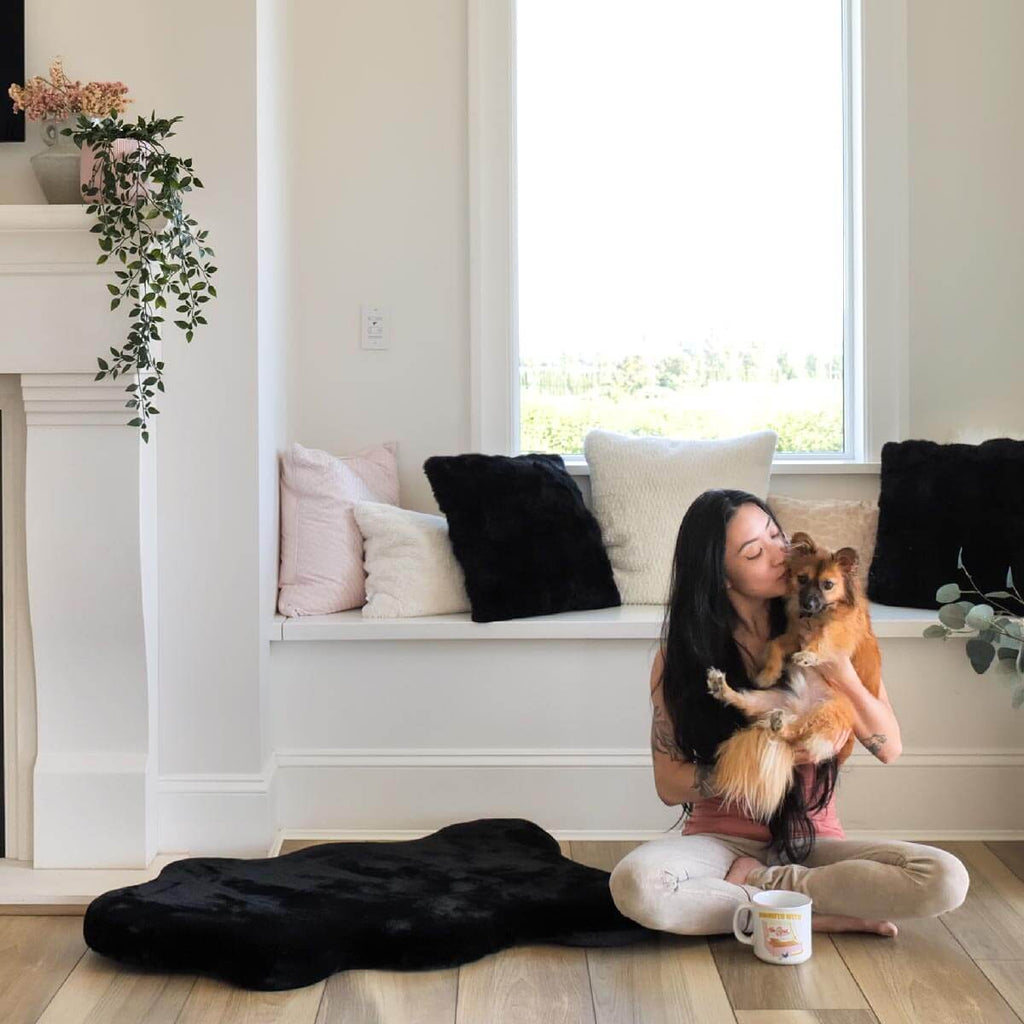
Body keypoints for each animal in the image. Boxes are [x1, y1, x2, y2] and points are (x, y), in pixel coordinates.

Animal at [704, 532, 880, 819]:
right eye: (802, 579)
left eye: (828, 584)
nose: (808, 603)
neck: (817, 615)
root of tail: (797, 709)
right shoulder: (794, 635)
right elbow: (775, 644)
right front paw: (768, 673)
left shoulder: (842, 629)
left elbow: (826, 636)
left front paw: (809, 655)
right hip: (766, 700)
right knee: (748, 703)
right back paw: (723, 688)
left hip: (830, 711)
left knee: (798, 732)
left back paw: (782, 724)